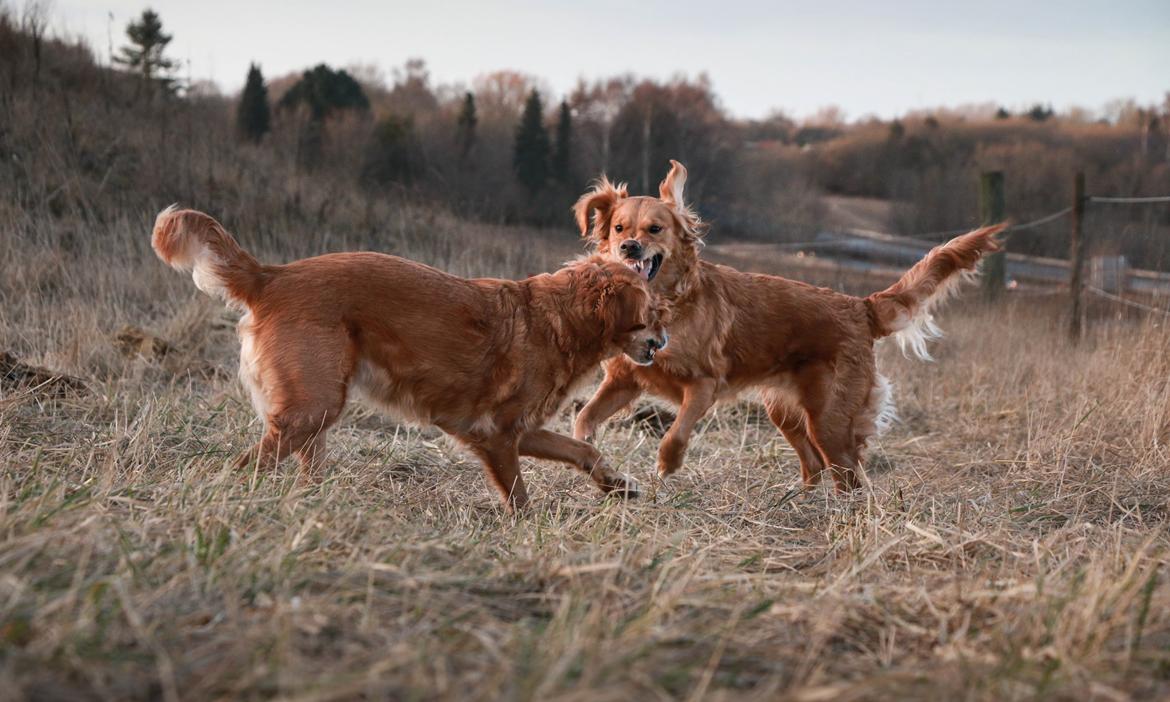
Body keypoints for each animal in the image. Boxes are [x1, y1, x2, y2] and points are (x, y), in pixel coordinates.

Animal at [153, 205, 669, 507]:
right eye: (650, 314)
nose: (663, 343)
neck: (561, 318)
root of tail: (271, 276)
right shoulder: (495, 433)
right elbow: (519, 496)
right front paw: (528, 529)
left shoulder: (521, 431)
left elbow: (584, 448)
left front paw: (618, 484)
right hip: (311, 407)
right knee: (245, 466)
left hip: (316, 413)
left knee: (302, 468)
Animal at [570, 161, 1001, 491]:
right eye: (618, 228)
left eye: (655, 229)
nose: (629, 247)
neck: (666, 303)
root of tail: (860, 307)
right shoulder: (624, 380)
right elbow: (583, 417)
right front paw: (586, 449)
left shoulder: (704, 384)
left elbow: (675, 434)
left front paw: (667, 466)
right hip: (786, 412)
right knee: (815, 464)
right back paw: (799, 499)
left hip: (829, 419)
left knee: (848, 475)